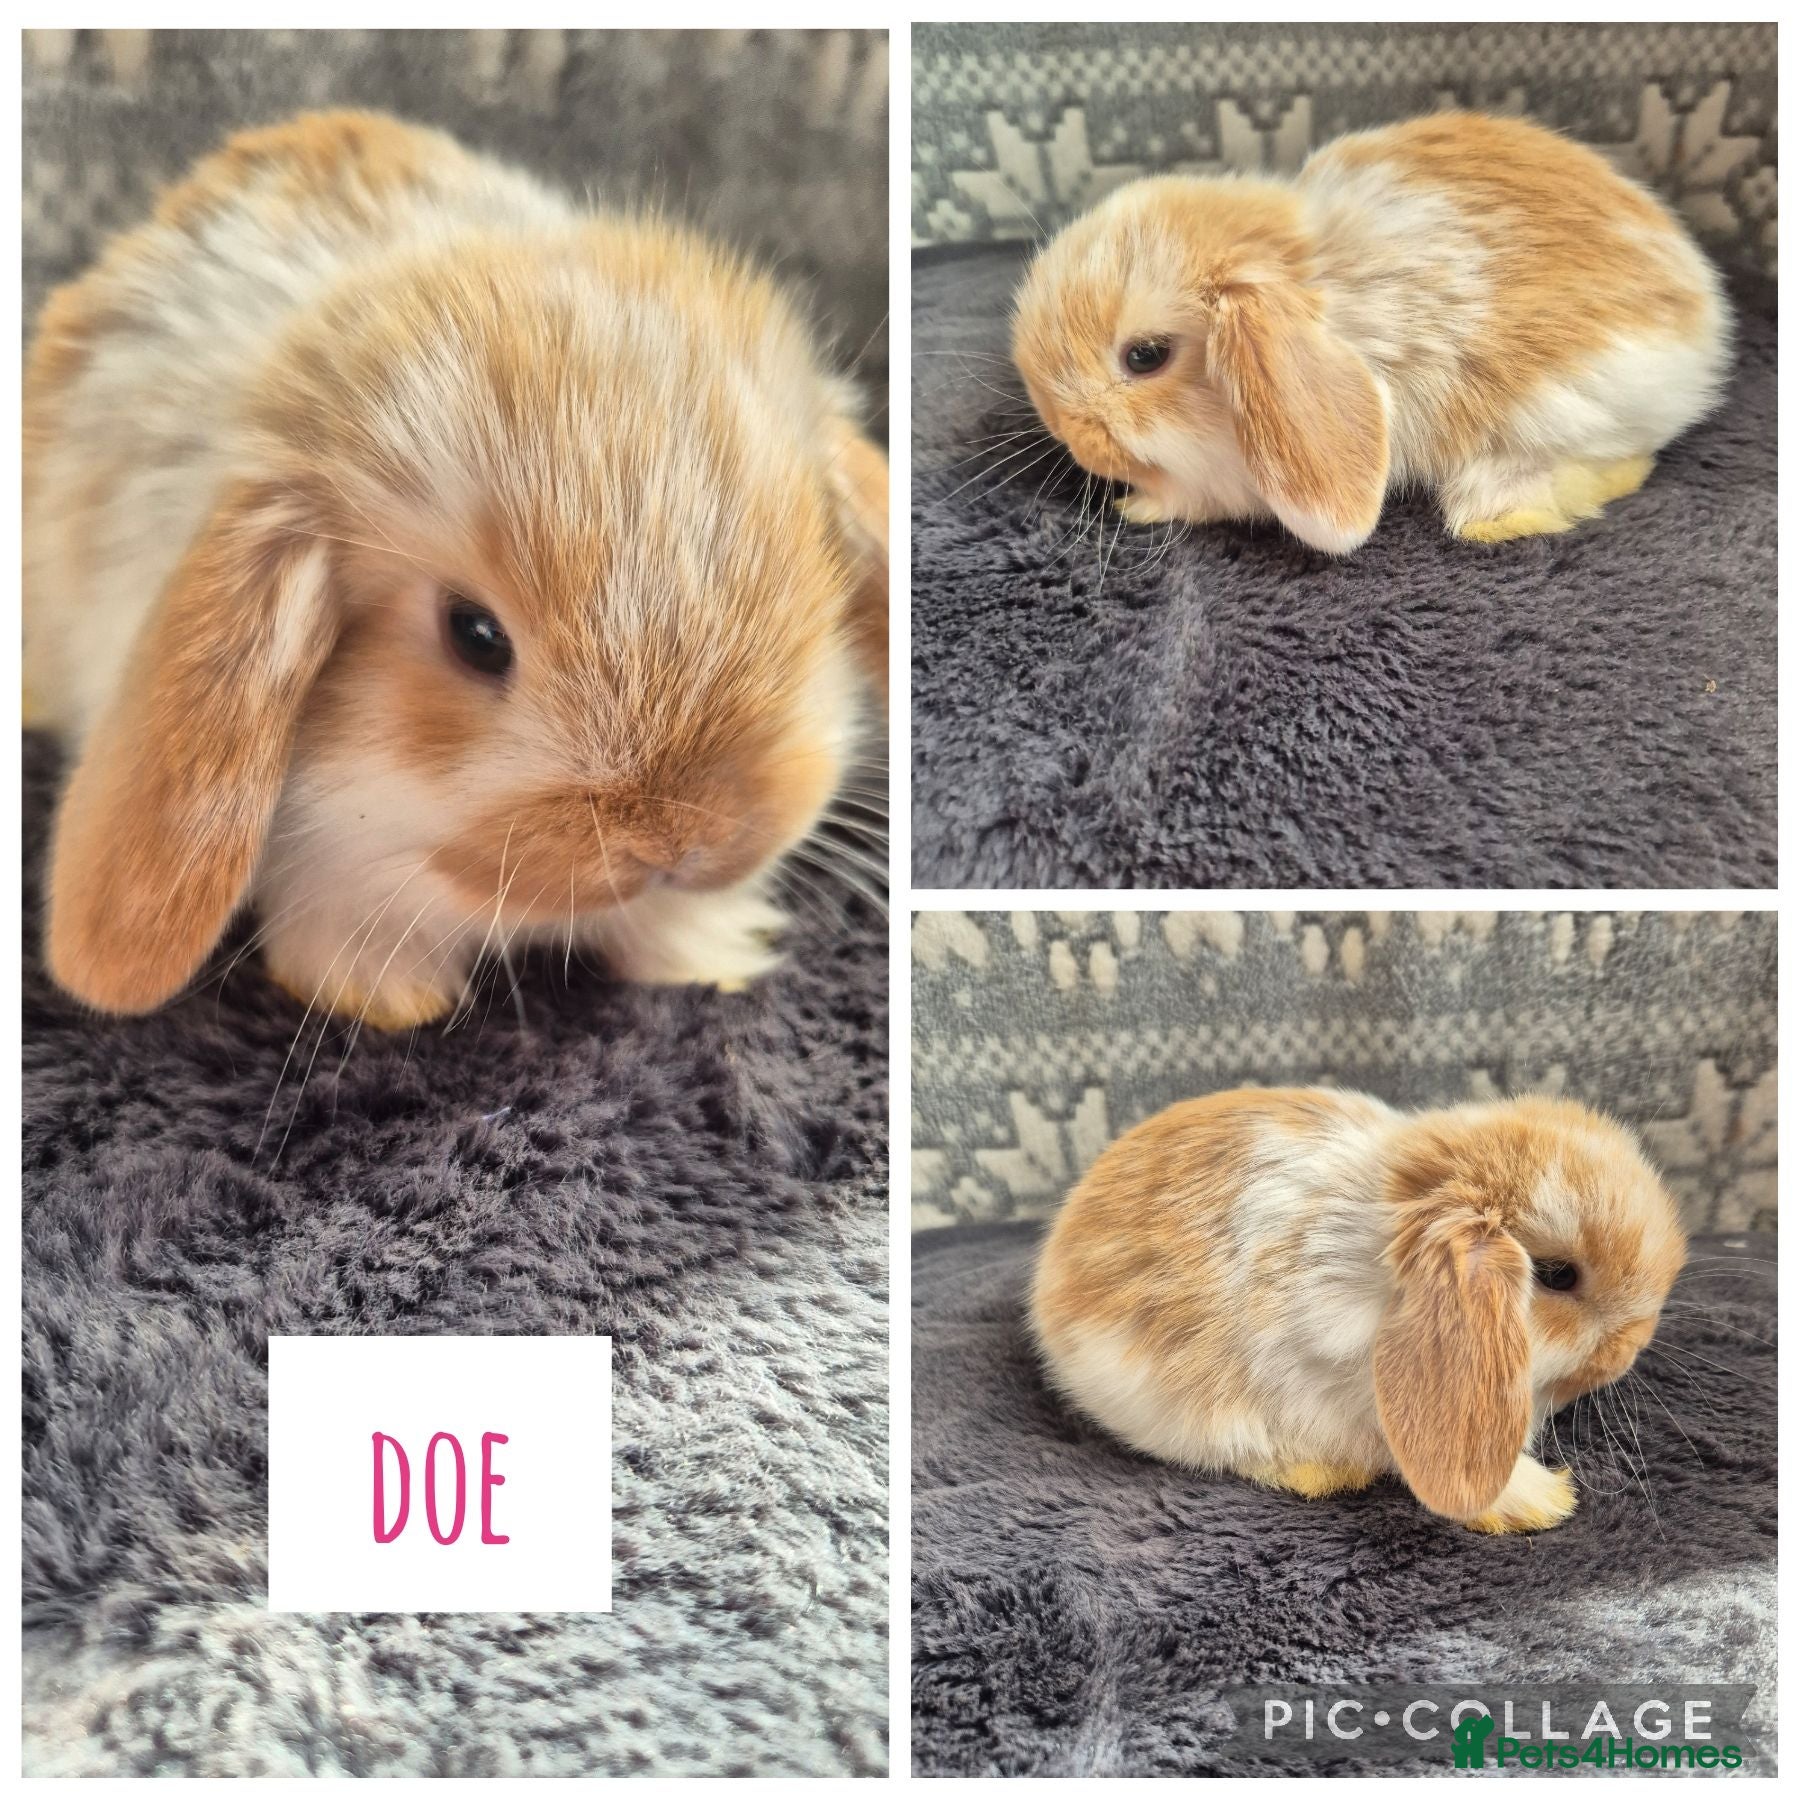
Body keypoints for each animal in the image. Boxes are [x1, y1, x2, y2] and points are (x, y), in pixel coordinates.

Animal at [1011, 111, 1730, 554]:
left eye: (1146, 356)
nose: (1063, 430)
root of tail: (1705, 311)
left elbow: (1193, 498)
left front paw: (1136, 506)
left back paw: (1498, 517)